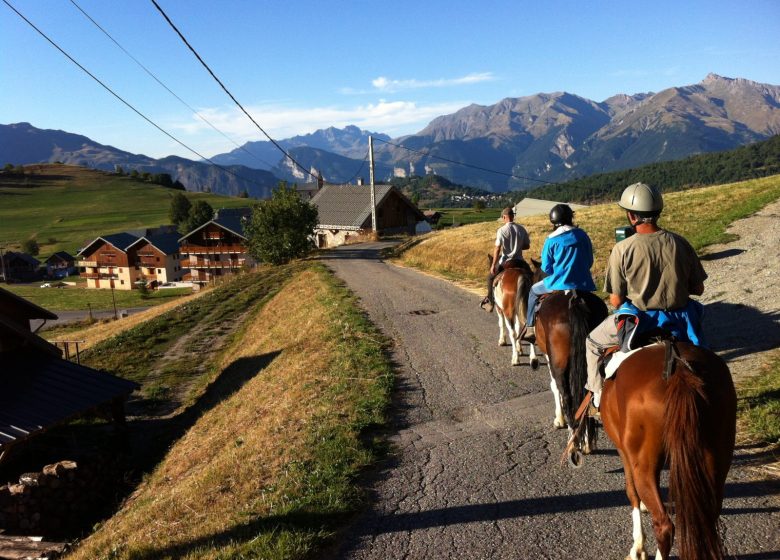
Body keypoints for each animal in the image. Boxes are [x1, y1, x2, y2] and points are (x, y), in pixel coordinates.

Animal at [596, 342, 736, 560]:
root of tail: (679, 369)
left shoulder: (624, 453)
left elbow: (632, 493)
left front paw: (638, 547)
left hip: (644, 464)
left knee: (664, 526)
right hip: (718, 457)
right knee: (709, 515)